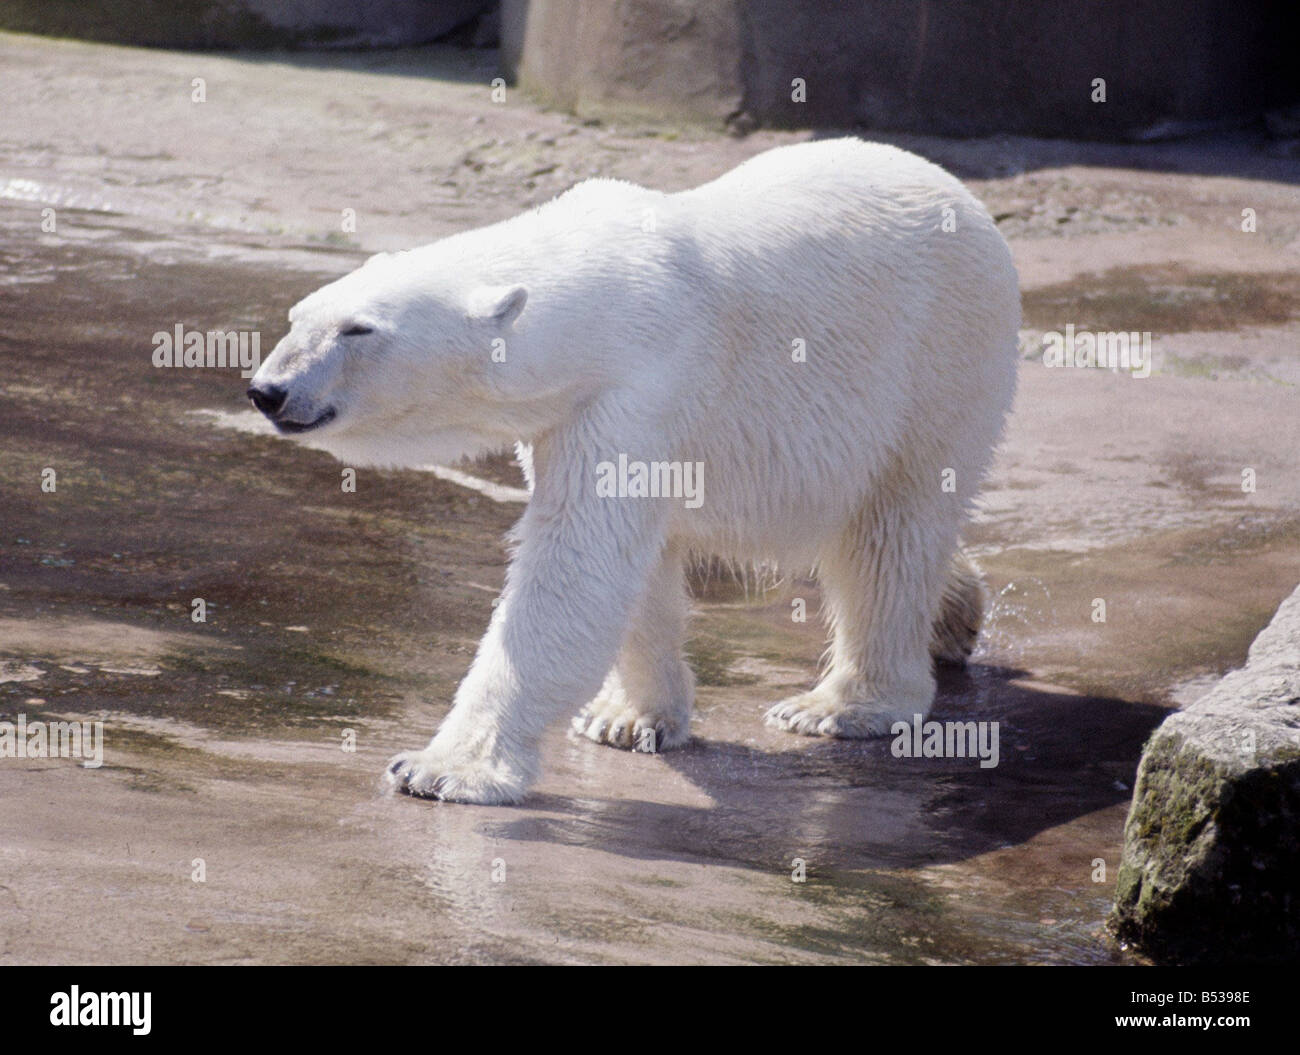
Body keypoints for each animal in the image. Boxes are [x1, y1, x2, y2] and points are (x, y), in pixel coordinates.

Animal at [244, 135, 1013, 805]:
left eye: (359, 330)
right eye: (298, 315)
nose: (268, 390)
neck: (602, 295)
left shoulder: (644, 384)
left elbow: (578, 563)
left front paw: (441, 768)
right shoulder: (572, 413)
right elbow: (634, 559)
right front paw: (627, 718)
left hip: (937, 361)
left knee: (890, 532)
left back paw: (840, 705)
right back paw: (954, 617)